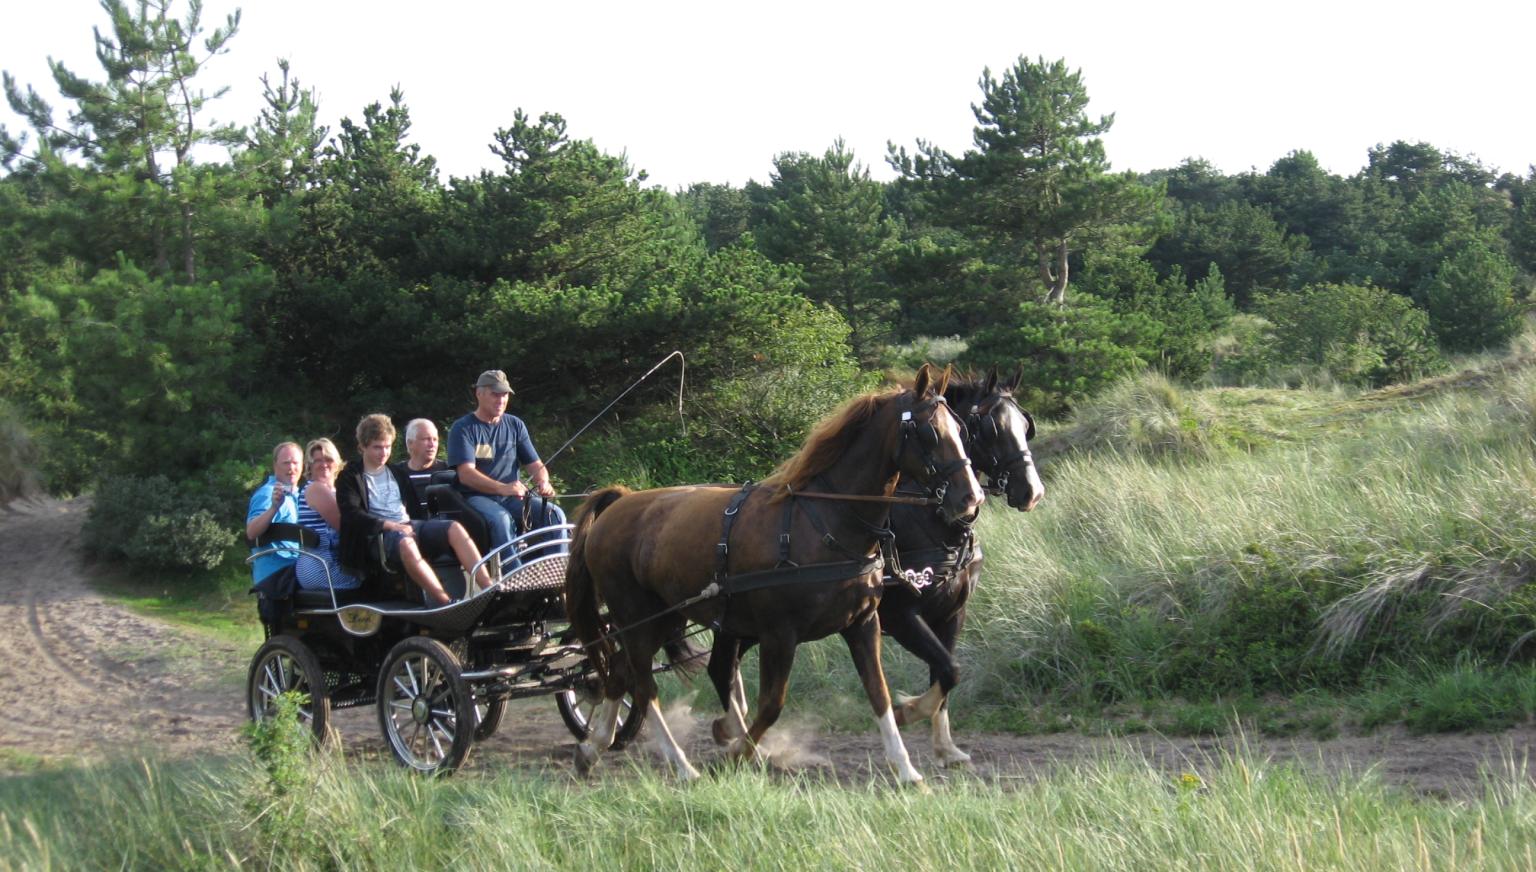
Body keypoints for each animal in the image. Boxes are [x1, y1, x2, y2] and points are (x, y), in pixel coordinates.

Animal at [565, 362, 983, 782]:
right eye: (930, 432)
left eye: (962, 430)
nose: (971, 498)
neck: (823, 521)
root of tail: (619, 502)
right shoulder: (779, 634)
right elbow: (771, 704)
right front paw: (737, 752)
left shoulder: (864, 624)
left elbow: (880, 693)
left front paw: (906, 766)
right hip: (639, 618)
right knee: (643, 684)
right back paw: (681, 763)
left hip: (668, 618)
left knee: (620, 672)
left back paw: (592, 748)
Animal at [703, 371, 1044, 767]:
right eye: (991, 427)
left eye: (1025, 425)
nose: (1033, 491)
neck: (928, 521)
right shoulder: (900, 615)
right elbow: (948, 671)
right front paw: (905, 712)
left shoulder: (952, 614)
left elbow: (944, 674)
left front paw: (945, 746)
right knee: (720, 666)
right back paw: (734, 731)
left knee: (724, 666)